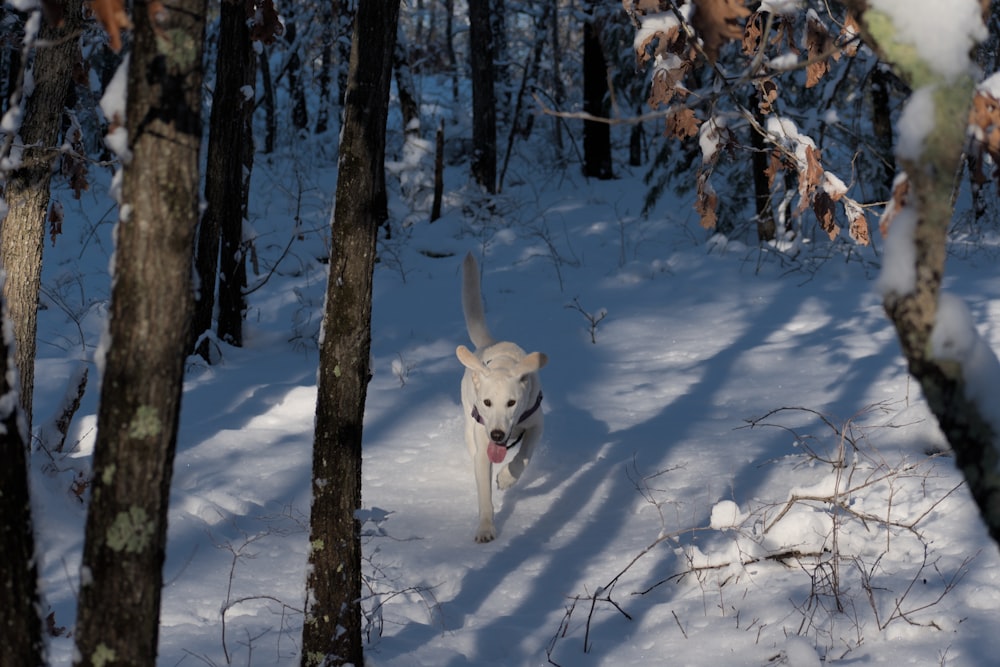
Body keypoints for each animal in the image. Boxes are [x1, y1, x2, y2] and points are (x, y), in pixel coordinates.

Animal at [456, 252, 548, 544]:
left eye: (511, 403)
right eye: (486, 403)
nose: (497, 434)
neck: (503, 363)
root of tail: (489, 342)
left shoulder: (536, 423)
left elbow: (525, 456)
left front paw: (507, 477)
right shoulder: (484, 445)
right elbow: (484, 493)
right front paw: (486, 528)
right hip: (469, 426)